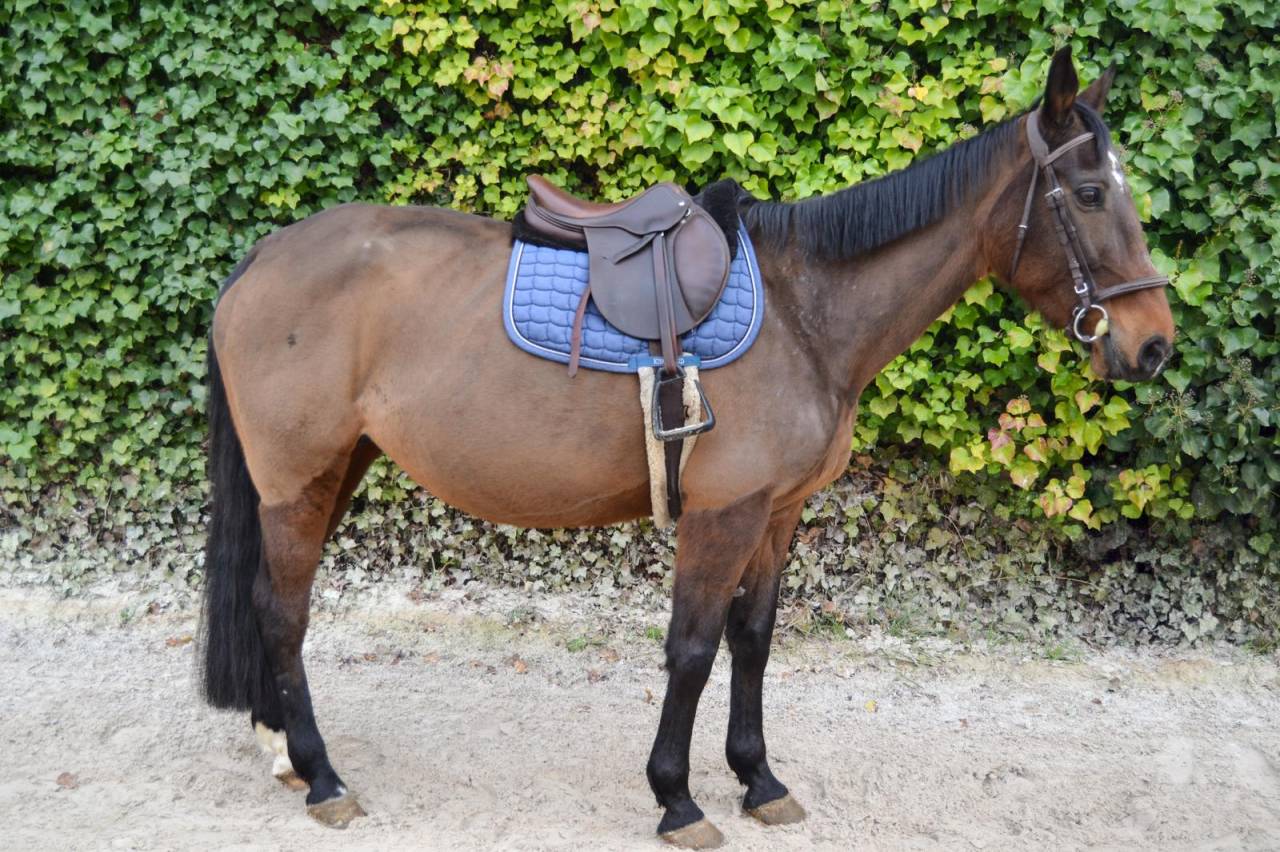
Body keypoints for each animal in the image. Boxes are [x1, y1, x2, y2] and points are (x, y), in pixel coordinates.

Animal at [199, 46, 1175, 847]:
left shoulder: (777, 514)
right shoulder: (722, 513)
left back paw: (283, 751)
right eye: (1092, 195)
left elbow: (753, 640)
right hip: (296, 480)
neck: (806, 313)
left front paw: (759, 779)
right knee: (282, 610)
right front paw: (677, 797)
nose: (1154, 345)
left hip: (337, 469)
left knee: (272, 606)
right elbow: (694, 648)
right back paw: (323, 778)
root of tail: (264, 256)